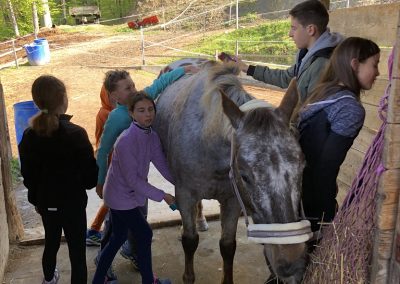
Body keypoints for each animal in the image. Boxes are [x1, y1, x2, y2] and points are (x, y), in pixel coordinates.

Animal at [155, 58, 308, 282]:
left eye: (303, 165)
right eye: (244, 176)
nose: (292, 263)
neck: (206, 140)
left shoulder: (232, 200)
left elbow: (227, 246)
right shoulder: (185, 194)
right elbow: (190, 241)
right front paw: (188, 276)